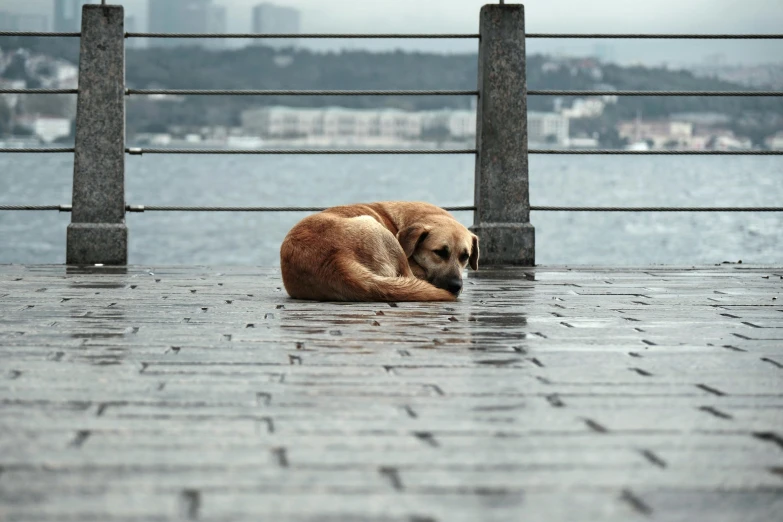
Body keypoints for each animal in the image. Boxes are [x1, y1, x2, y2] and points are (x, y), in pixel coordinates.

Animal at [280, 202, 478, 302]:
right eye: (439, 252)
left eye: (465, 257)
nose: (455, 286)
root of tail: (335, 258)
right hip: (377, 228)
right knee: (409, 277)